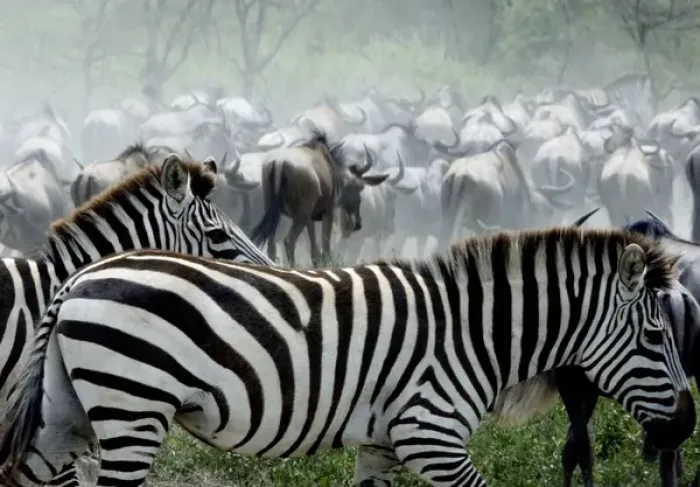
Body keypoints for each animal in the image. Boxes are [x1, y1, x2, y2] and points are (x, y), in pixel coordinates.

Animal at [0, 227, 694, 487]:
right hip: (133, 407)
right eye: (654, 338)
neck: (474, 334)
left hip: (67, 414)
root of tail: (79, 278)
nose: (687, 426)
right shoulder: (431, 436)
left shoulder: (382, 442)